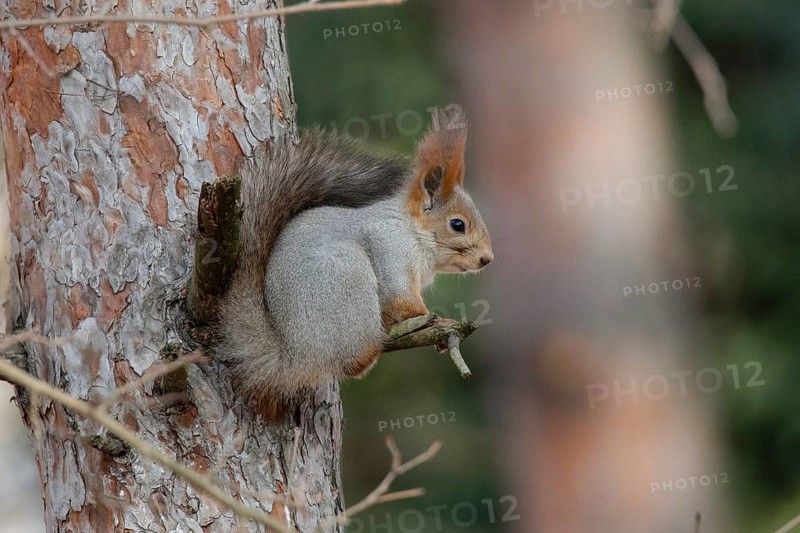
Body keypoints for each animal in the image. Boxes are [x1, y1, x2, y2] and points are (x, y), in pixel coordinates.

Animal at [215, 109, 493, 420]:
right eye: (457, 224)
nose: (487, 259)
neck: (411, 230)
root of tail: (296, 354)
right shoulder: (391, 250)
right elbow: (401, 298)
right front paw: (441, 322)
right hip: (350, 278)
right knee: (354, 361)